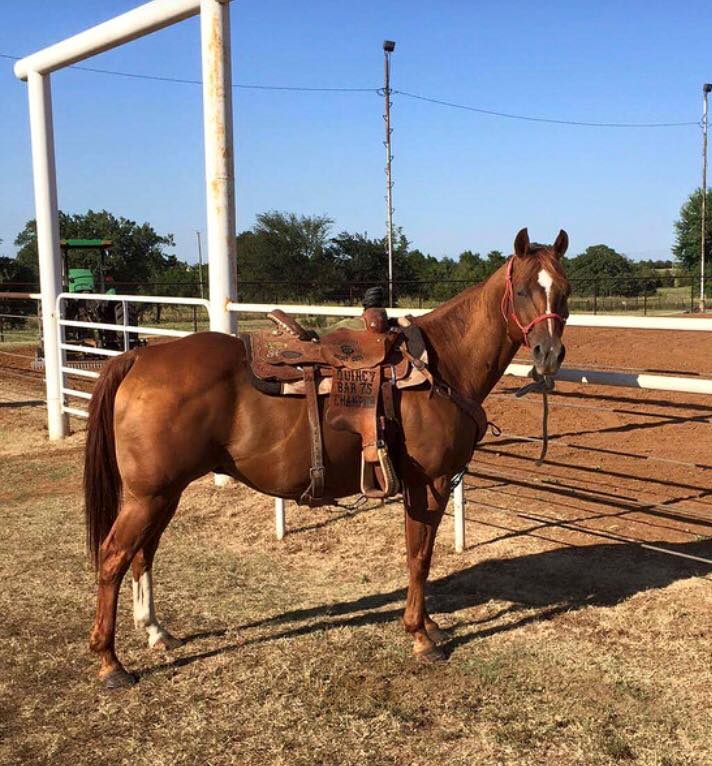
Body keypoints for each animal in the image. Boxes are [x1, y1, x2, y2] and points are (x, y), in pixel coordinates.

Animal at [84, 226, 570, 688]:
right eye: (522, 289)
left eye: (563, 290)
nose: (548, 354)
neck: (441, 365)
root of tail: (138, 358)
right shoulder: (427, 484)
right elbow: (419, 556)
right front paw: (420, 634)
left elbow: (421, 553)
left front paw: (429, 624)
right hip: (149, 496)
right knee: (112, 557)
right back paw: (110, 662)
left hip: (164, 493)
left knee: (143, 553)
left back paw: (156, 632)